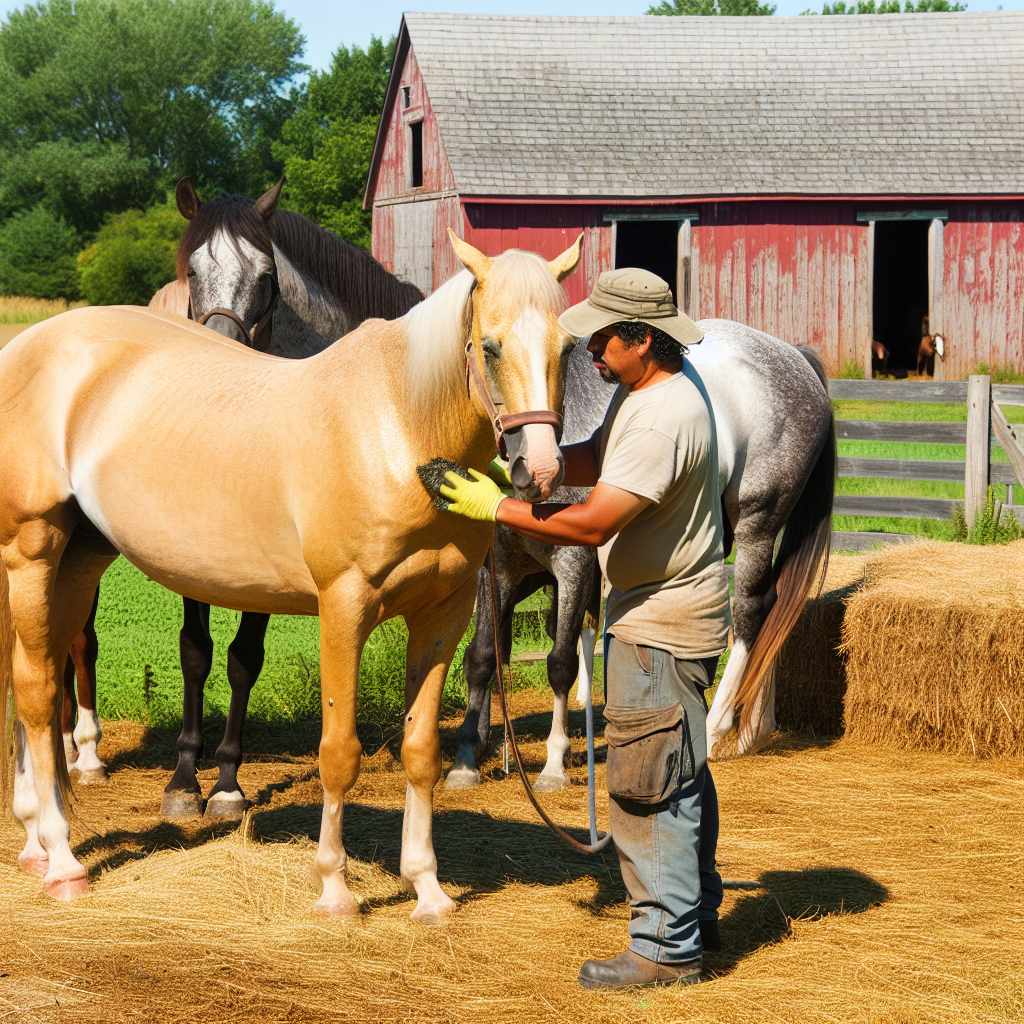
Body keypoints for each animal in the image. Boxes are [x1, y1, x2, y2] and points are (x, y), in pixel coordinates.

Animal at [59, 176, 421, 815]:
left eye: (268, 277)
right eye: (192, 270)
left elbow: (244, 658)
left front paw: (226, 782)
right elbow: (195, 650)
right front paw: (184, 781)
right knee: (76, 637)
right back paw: (79, 755)